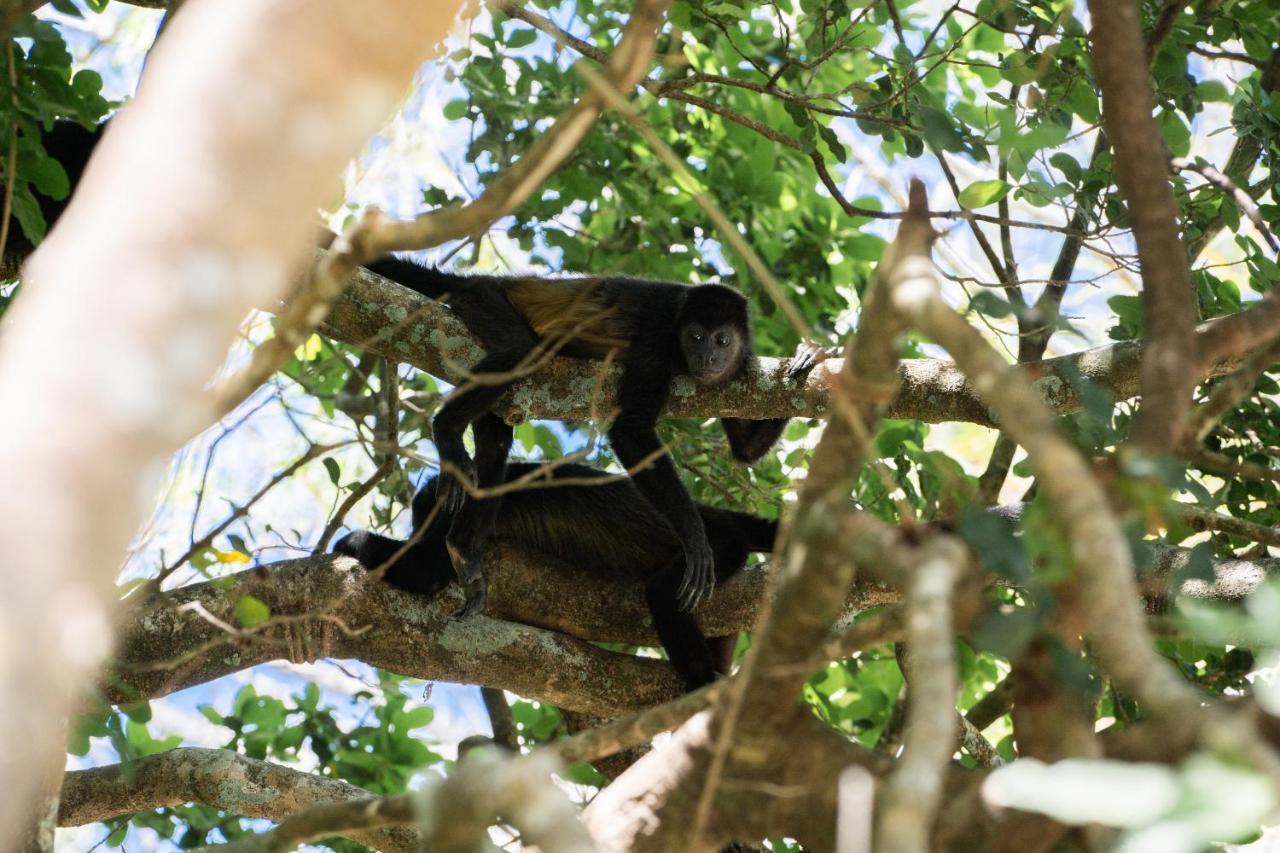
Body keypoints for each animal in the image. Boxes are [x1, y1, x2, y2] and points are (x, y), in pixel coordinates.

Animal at [335, 455, 773, 686]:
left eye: (423, 519)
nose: (417, 528)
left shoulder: (458, 519)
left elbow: (426, 571)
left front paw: (349, 541)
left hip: (719, 548)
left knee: (664, 593)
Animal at [360, 256, 819, 622]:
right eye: (695, 336)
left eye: (722, 339)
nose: (707, 357)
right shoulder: (656, 338)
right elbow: (630, 430)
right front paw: (695, 538)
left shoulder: (740, 367)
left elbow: (745, 449)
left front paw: (806, 357)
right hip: (483, 299)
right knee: (518, 348)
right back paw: (445, 430)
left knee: (496, 440)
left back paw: (462, 547)